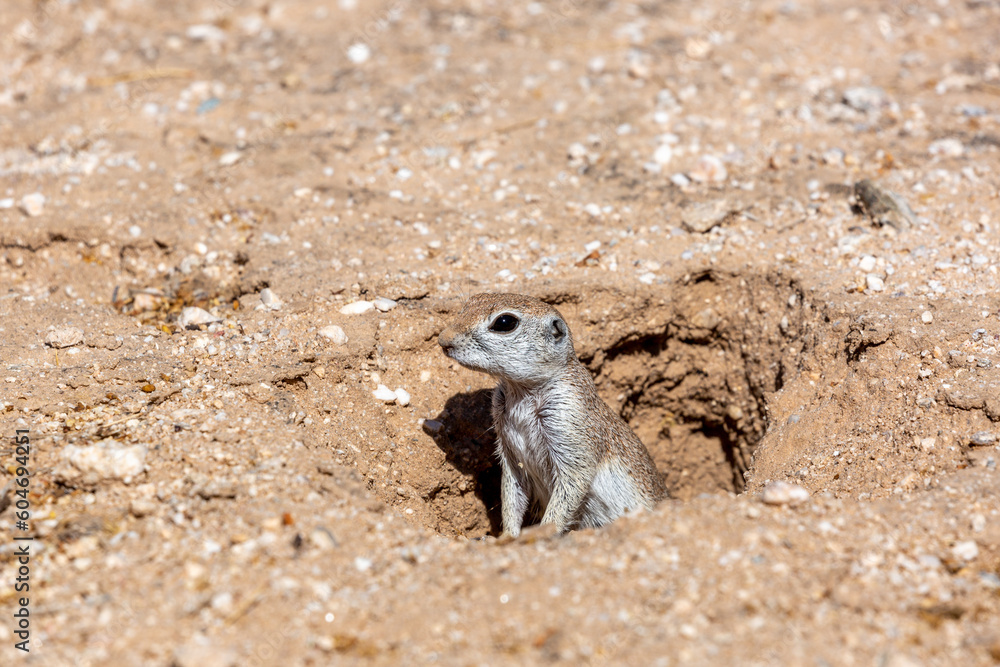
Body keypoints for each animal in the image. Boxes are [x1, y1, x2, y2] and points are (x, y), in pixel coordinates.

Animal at [438, 293, 666, 537]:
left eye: (505, 322)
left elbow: (569, 488)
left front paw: (541, 533)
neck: (520, 393)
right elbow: (511, 494)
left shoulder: (569, 422)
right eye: (469, 303)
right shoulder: (510, 452)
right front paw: (507, 535)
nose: (443, 339)